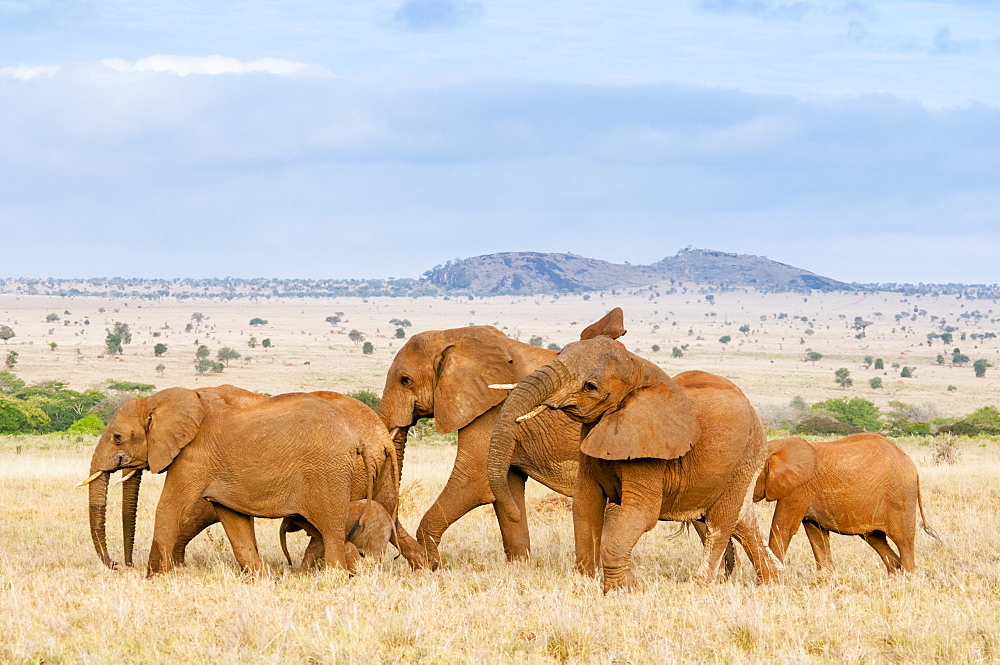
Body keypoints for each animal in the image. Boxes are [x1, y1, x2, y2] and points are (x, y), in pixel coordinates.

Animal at [78, 384, 406, 576]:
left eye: (117, 437)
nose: (118, 565)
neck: (158, 400)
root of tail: (366, 438)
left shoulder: (193, 457)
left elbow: (170, 508)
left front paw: (155, 578)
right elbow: (232, 518)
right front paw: (259, 578)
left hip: (330, 472)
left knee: (330, 530)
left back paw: (336, 576)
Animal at [378, 310, 628, 564]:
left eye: (405, 380)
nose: (401, 559)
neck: (453, 337)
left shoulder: (492, 409)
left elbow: (473, 480)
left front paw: (429, 564)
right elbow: (506, 485)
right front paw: (519, 565)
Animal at [484, 338, 780, 592]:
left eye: (590, 386)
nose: (514, 510)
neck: (638, 368)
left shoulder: (649, 449)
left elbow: (641, 512)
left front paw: (622, 589)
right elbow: (585, 505)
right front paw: (584, 581)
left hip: (745, 458)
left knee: (720, 524)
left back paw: (698, 586)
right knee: (743, 522)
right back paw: (773, 582)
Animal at [756, 434, 936, 572]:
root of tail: (913, 467)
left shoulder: (798, 489)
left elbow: (783, 529)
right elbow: (816, 534)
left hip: (900, 496)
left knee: (903, 541)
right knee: (876, 540)